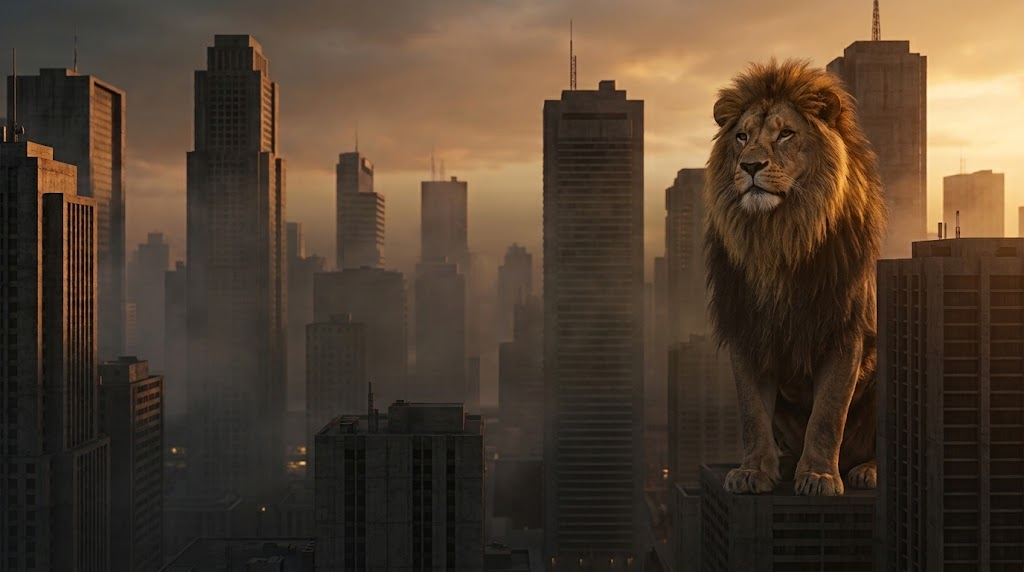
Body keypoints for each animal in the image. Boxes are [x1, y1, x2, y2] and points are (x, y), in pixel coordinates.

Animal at [703, 59, 887, 496]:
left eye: (785, 133)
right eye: (741, 136)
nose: (750, 165)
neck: (778, 238)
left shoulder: (844, 332)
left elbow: (827, 415)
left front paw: (819, 475)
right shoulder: (747, 331)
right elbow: (752, 414)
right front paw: (753, 471)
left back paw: (868, 470)